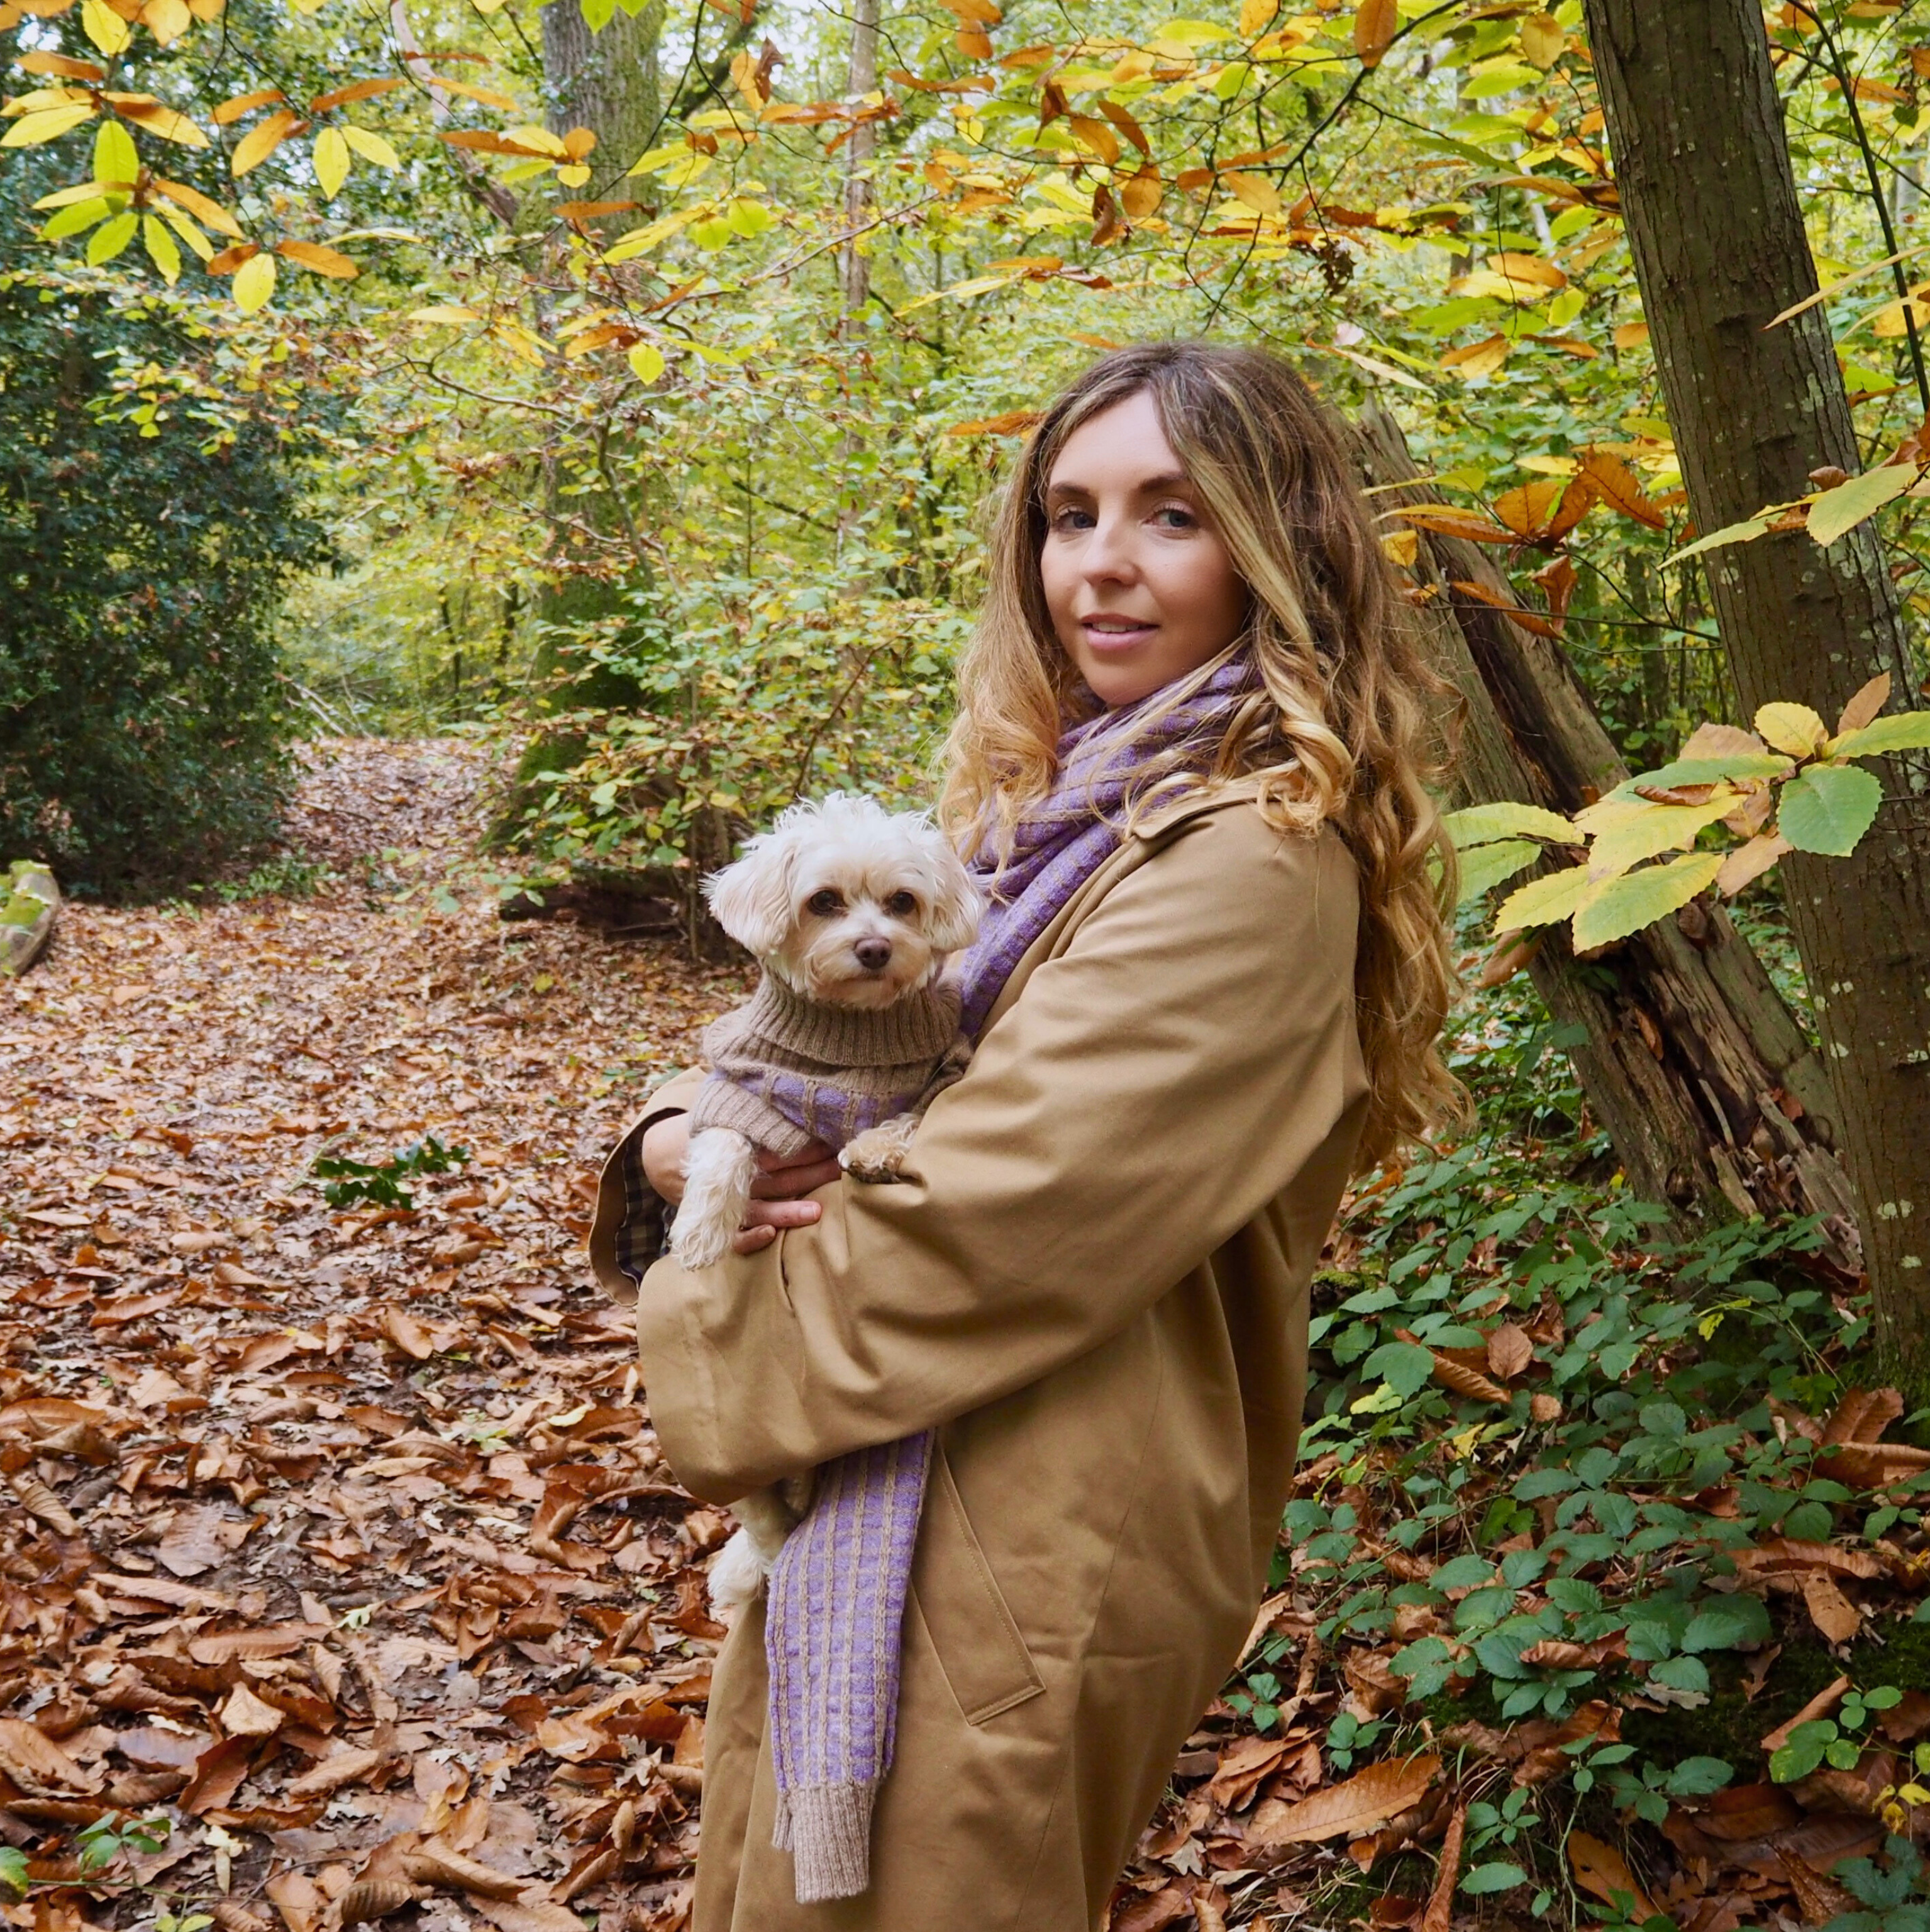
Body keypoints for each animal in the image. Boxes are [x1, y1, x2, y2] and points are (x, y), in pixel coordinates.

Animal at [676, 792, 981, 1607]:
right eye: (824, 902)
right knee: (762, 1516)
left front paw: (874, 1147)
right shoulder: (742, 1085)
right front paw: (701, 1231)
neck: (850, 1036)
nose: (875, 948)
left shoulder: (940, 1072)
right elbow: (722, 1149)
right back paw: (755, 1563)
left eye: (902, 902)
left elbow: (908, 1116)